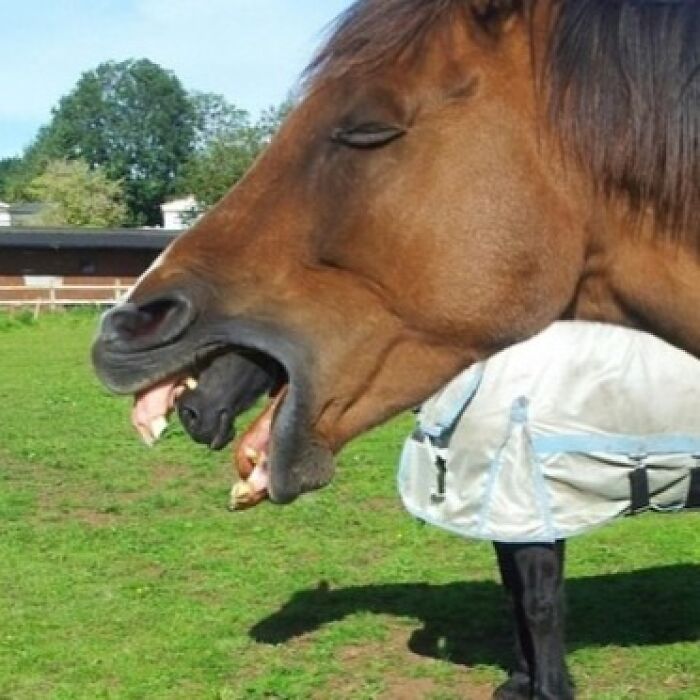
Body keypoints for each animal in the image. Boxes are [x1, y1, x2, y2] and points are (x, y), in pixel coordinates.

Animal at [92, 1, 700, 697]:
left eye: (368, 129)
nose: (127, 329)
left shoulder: (530, 511)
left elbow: (540, 602)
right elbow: (516, 597)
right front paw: (519, 680)